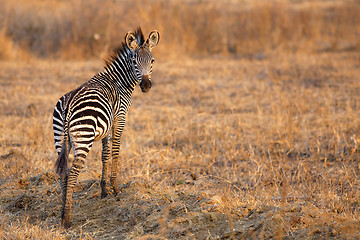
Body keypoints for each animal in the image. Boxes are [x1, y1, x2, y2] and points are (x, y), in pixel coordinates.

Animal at [52, 27, 160, 228]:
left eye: (152, 61)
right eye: (134, 61)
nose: (146, 86)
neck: (119, 82)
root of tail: (69, 105)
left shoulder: (105, 126)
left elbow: (104, 154)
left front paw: (103, 191)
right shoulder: (120, 117)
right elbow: (115, 150)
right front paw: (116, 189)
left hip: (60, 139)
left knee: (63, 172)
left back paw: (62, 212)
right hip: (84, 138)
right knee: (73, 172)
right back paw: (68, 219)